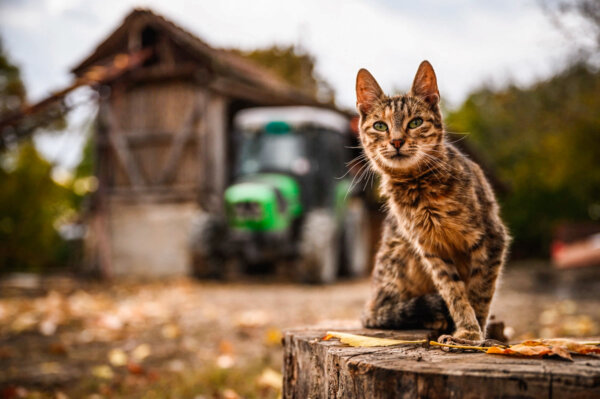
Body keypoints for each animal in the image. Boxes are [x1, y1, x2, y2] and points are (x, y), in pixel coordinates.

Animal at [356, 61, 510, 346]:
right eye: (380, 126)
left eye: (415, 123)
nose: (396, 141)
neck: (418, 187)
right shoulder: (430, 249)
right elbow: (454, 293)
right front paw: (467, 329)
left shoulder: (492, 237)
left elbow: (480, 291)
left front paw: (473, 335)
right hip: (399, 256)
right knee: (381, 312)